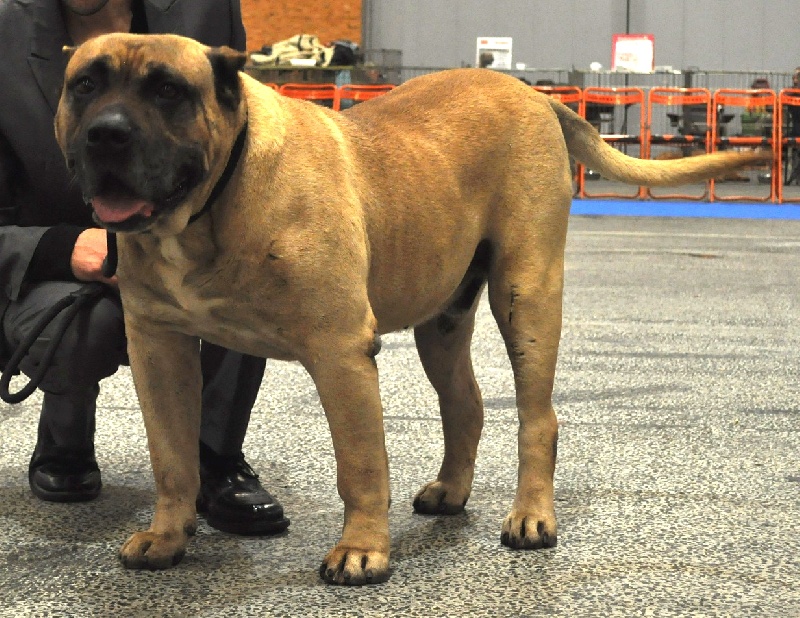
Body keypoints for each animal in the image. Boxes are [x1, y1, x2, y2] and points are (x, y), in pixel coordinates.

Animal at [54, 33, 770, 585]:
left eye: (167, 90)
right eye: (85, 84)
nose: (106, 135)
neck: (211, 201)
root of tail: (537, 96)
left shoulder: (340, 352)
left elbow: (360, 461)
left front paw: (362, 551)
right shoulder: (159, 349)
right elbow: (171, 455)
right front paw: (168, 536)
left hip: (527, 296)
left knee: (538, 417)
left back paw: (532, 517)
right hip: (443, 322)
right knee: (467, 405)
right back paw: (451, 491)